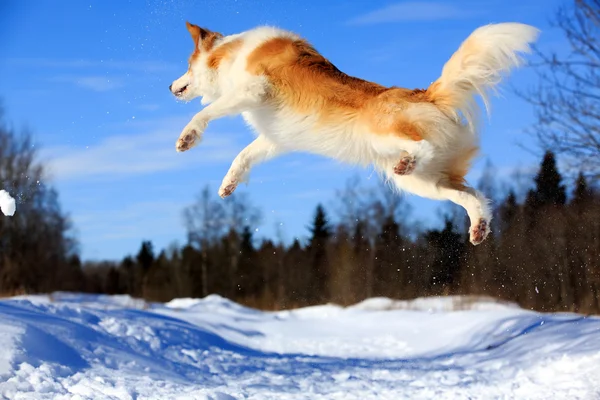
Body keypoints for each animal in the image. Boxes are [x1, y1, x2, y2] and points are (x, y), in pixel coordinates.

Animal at [169, 22, 540, 247]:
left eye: (186, 66)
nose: (171, 87)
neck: (229, 56)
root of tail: (427, 94)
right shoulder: (275, 139)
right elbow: (242, 156)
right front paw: (228, 185)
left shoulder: (251, 89)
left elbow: (204, 113)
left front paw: (187, 137)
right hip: (425, 184)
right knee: (474, 196)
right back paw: (479, 227)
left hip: (383, 136)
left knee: (421, 147)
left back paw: (409, 159)